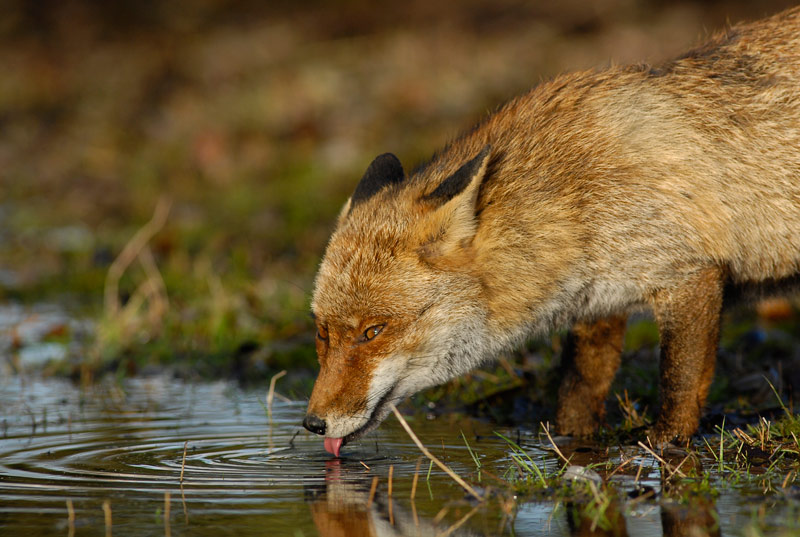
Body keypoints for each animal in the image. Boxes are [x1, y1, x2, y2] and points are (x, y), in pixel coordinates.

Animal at [303, 7, 800, 457]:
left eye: (373, 331)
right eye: (323, 333)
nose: (312, 424)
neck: (575, 194)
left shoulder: (689, 276)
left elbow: (679, 383)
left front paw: (666, 447)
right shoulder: (598, 305)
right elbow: (578, 392)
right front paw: (570, 446)